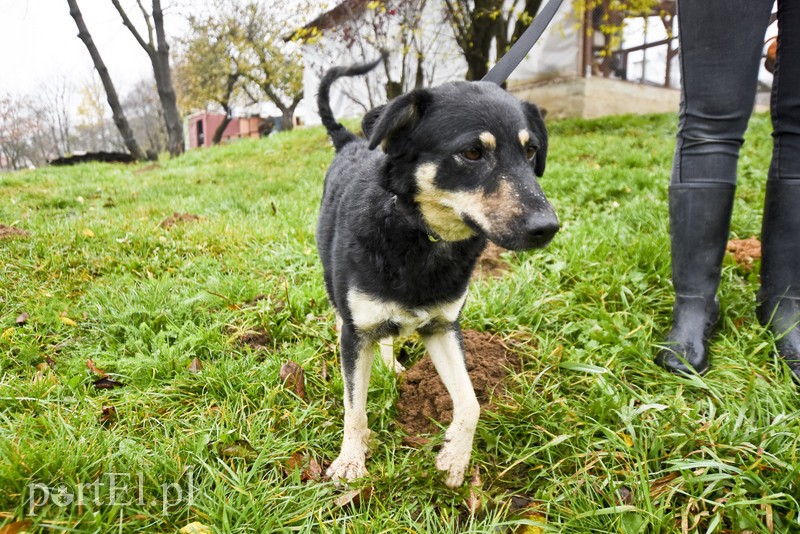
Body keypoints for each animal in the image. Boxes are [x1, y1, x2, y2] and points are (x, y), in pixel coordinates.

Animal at [316, 58, 560, 490]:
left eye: (531, 151)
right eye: (472, 152)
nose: (547, 227)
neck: (421, 234)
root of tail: (349, 142)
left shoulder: (443, 327)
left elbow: (472, 403)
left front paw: (454, 458)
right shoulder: (358, 329)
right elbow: (354, 409)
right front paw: (350, 462)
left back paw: (393, 367)